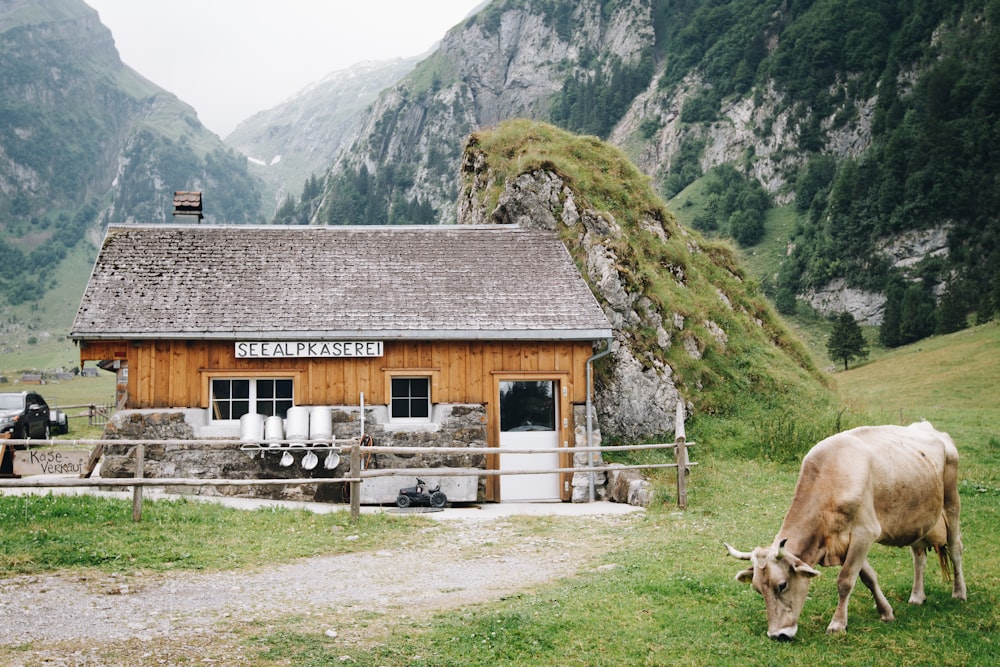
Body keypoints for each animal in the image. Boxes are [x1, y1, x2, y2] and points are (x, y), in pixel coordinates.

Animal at [724, 422, 964, 640]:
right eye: (758, 588)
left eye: (782, 585)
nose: (777, 635)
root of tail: (930, 427)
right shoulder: (843, 543)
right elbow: (868, 577)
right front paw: (886, 612)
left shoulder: (864, 533)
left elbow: (846, 580)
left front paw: (838, 624)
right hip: (918, 518)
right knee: (919, 557)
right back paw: (917, 596)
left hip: (951, 503)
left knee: (955, 549)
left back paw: (959, 593)